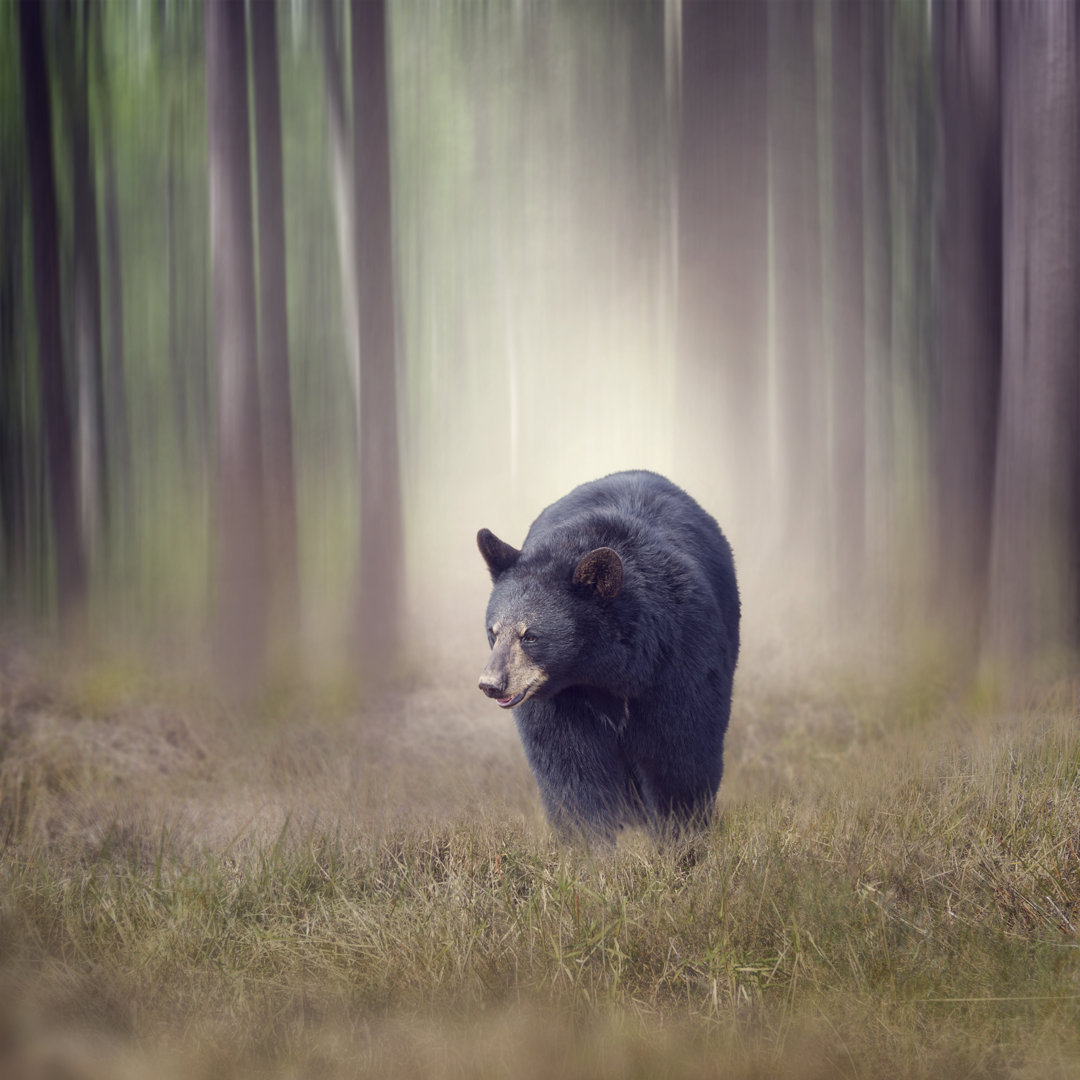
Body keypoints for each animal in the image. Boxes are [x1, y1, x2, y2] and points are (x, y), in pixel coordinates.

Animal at [477, 469, 739, 842]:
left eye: (530, 635)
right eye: (493, 631)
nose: (491, 684)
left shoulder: (679, 659)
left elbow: (681, 754)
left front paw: (683, 838)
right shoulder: (562, 700)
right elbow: (572, 770)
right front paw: (589, 845)